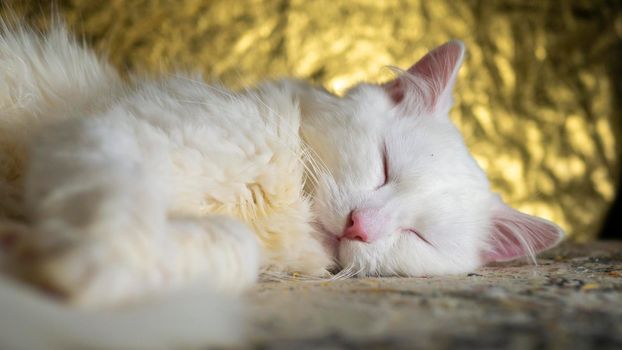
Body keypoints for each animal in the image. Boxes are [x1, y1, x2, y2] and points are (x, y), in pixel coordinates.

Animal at [0, 21, 564, 348]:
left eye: (418, 236)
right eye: (384, 168)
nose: (360, 226)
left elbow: (231, 247)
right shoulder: (113, 134)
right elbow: (122, 212)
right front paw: (87, 269)